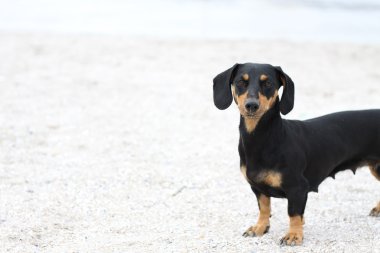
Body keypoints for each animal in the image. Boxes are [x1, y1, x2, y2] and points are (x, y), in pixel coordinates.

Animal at [212, 62, 378, 245]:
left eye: (268, 83)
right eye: (241, 82)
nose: (251, 105)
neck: (264, 139)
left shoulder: (297, 188)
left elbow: (293, 213)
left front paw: (293, 235)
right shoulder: (257, 188)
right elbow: (264, 208)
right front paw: (260, 227)